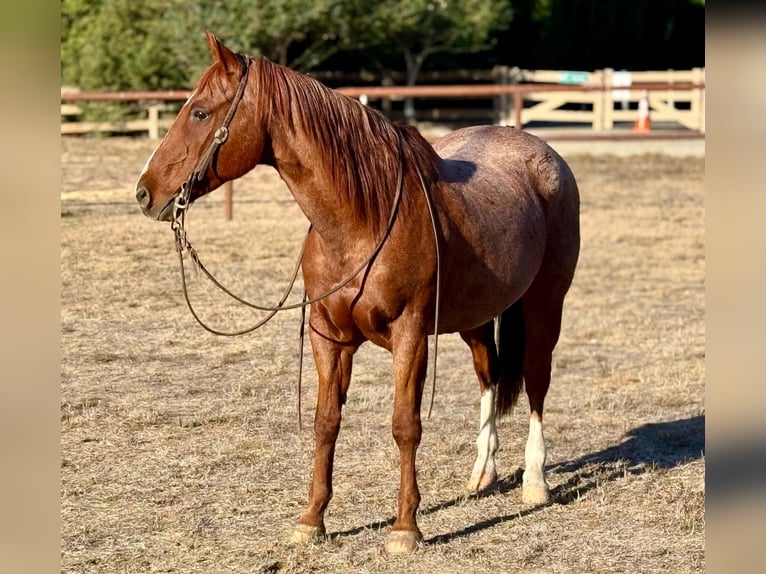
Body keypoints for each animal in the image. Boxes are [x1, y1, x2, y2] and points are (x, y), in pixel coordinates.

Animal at [135, 31, 580, 554]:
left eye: (201, 113)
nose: (145, 193)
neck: (361, 220)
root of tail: (543, 155)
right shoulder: (329, 335)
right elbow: (326, 421)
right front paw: (312, 520)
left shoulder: (410, 335)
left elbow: (405, 425)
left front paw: (405, 528)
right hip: (474, 317)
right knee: (488, 375)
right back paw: (482, 475)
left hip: (544, 305)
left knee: (536, 381)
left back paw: (535, 481)